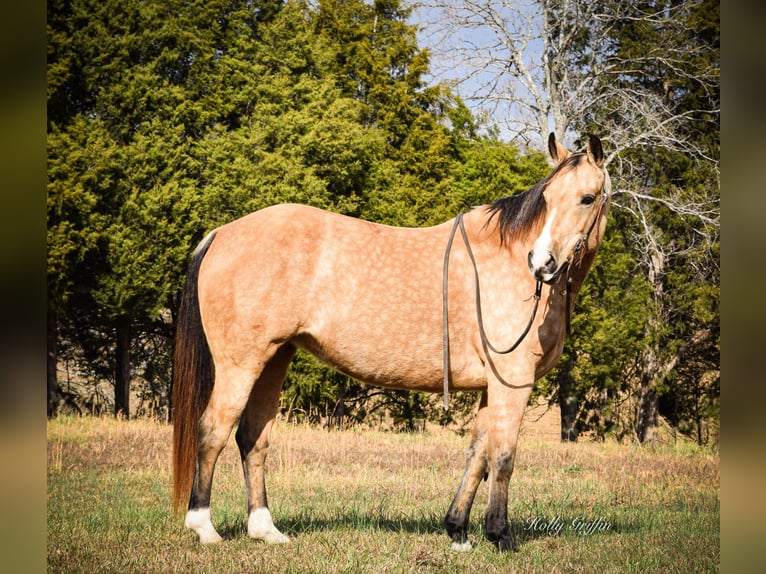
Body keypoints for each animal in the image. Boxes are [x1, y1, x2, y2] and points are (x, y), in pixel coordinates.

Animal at [172, 133, 612, 552]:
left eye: (586, 198)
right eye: (547, 197)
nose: (542, 263)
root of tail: (221, 234)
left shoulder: (492, 386)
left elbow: (477, 454)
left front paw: (458, 531)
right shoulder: (513, 381)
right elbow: (502, 457)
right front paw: (499, 535)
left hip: (274, 359)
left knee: (252, 438)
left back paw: (265, 530)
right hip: (240, 364)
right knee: (213, 431)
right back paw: (204, 527)